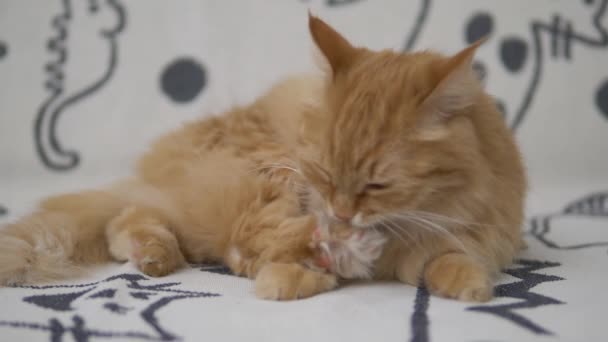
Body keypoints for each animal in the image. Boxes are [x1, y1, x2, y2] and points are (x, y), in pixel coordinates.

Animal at [0, 14, 528, 302]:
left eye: (376, 186)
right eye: (323, 173)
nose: (340, 214)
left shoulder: (462, 232)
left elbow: (449, 257)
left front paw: (468, 284)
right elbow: (288, 254)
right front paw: (297, 274)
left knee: (130, 220)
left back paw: (158, 256)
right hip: (257, 173)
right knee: (187, 231)